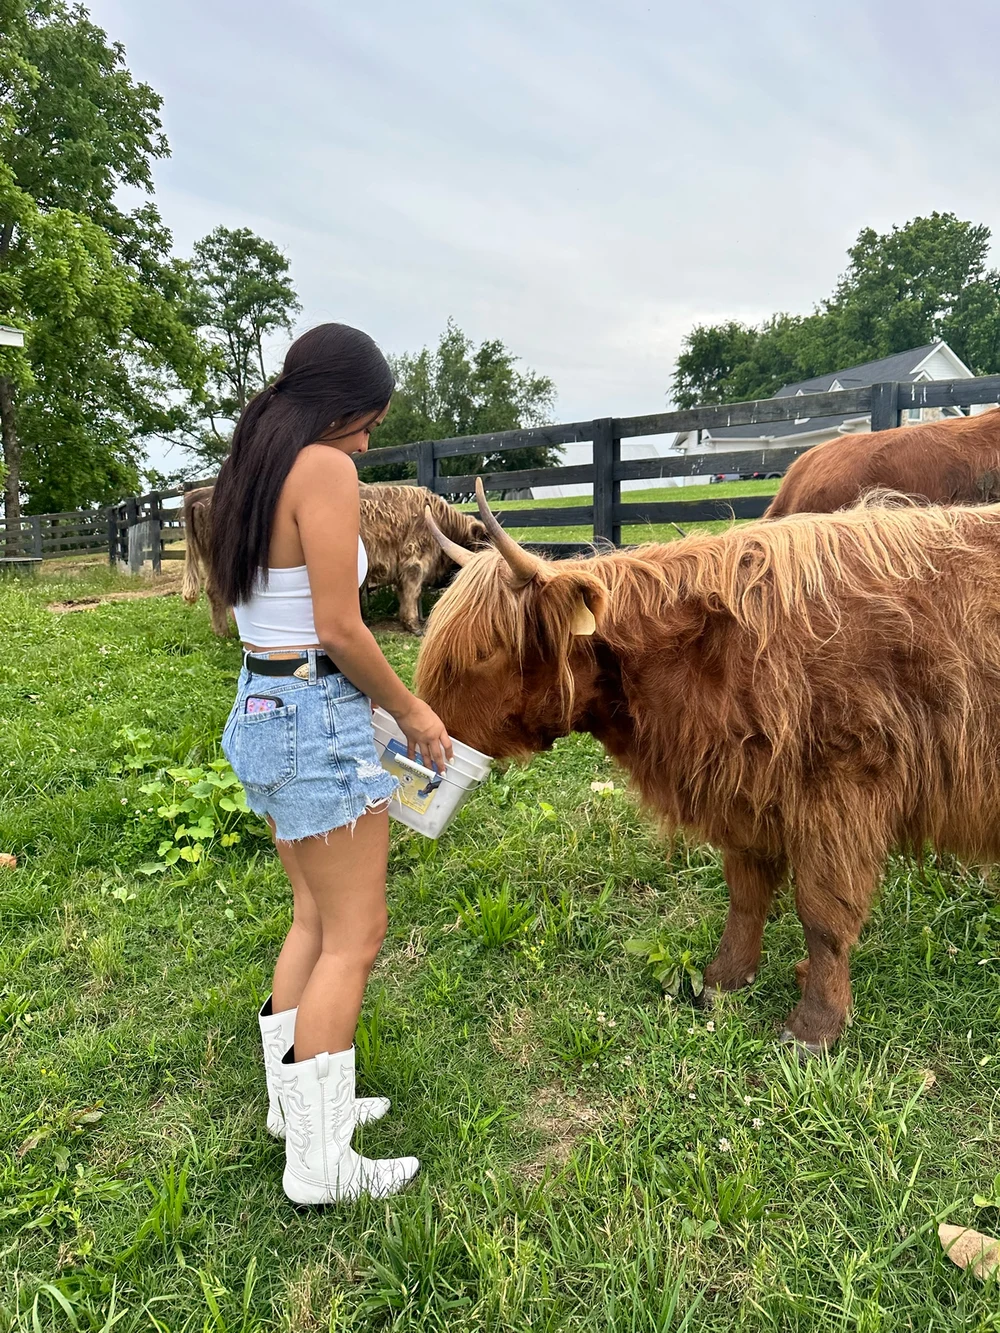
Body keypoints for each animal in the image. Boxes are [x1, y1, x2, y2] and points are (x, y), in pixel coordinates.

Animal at [417, 480, 1000, 1057]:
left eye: (484, 652)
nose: (419, 735)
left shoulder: (840, 792)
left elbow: (823, 915)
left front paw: (814, 1027)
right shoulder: (748, 791)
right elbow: (745, 894)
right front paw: (725, 979)